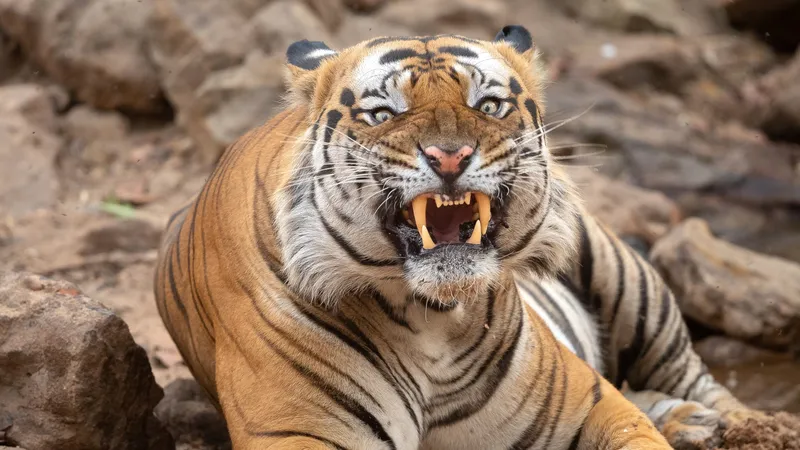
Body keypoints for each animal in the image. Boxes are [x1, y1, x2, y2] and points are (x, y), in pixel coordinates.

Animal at [155, 25, 759, 450]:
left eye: (487, 105)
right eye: (383, 113)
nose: (450, 156)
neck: (432, 318)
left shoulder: (589, 403)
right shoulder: (299, 430)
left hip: (626, 279)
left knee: (697, 378)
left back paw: (734, 423)